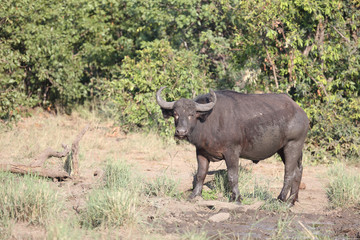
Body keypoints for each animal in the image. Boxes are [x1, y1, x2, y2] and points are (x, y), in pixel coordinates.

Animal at [157, 86, 310, 204]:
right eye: (175, 114)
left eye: (192, 114)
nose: (181, 132)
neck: (209, 120)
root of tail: (301, 112)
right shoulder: (201, 152)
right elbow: (200, 174)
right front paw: (194, 195)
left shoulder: (232, 152)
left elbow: (232, 176)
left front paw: (236, 197)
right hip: (283, 149)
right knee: (299, 170)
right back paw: (292, 200)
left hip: (293, 145)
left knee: (289, 172)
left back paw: (281, 198)